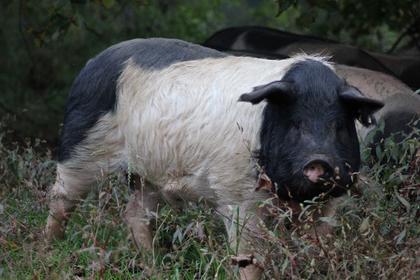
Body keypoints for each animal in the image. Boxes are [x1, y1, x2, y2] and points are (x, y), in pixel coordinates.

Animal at [45, 38, 384, 278]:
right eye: (295, 123)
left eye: (338, 126)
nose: (320, 161)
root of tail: (93, 61)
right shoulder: (239, 198)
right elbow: (249, 258)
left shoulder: (329, 205)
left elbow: (314, 248)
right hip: (81, 144)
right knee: (61, 197)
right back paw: (49, 247)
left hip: (146, 175)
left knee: (135, 214)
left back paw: (155, 267)